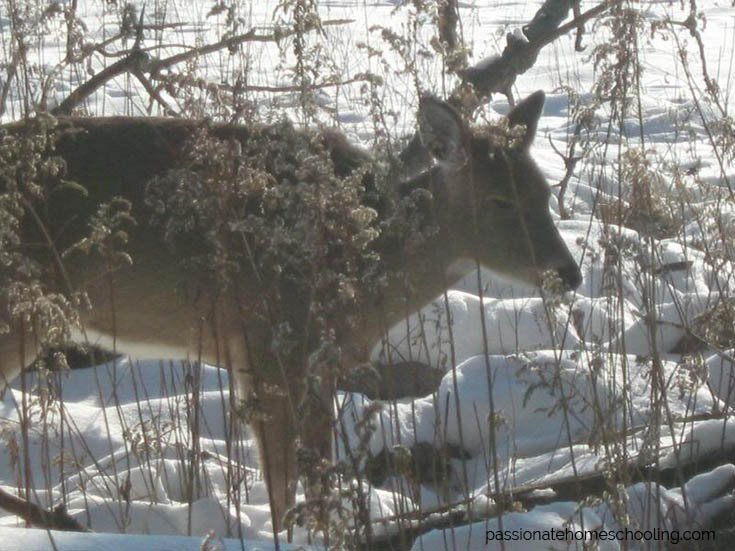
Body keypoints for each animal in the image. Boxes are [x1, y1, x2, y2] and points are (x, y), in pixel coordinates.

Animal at [0, 90, 582, 541]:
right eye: (500, 200)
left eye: (544, 192)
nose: (569, 273)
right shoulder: (267, 344)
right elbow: (282, 480)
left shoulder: (314, 360)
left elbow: (315, 471)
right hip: (19, 310)